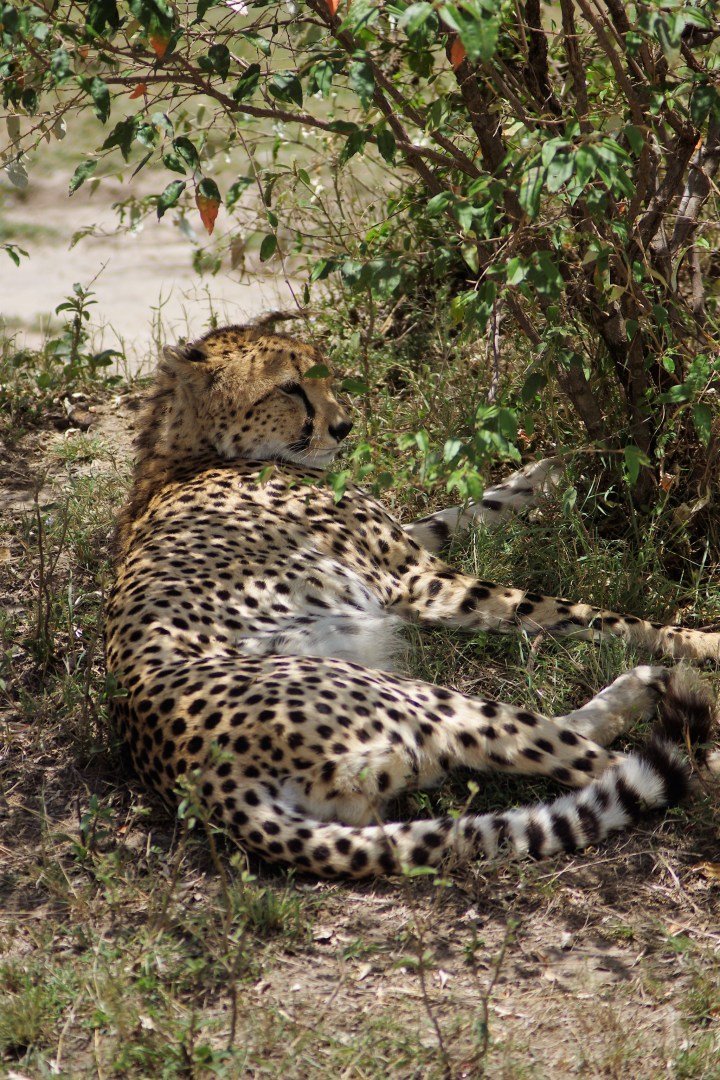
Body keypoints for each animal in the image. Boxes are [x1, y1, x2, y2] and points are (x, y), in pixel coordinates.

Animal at [105, 324, 718, 878]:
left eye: (323, 374)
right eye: (289, 388)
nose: (343, 427)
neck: (188, 453)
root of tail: (206, 785)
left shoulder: (408, 549)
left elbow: (464, 509)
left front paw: (545, 471)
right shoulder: (416, 581)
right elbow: (576, 612)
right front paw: (701, 639)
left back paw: (642, 689)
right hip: (413, 698)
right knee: (615, 766)